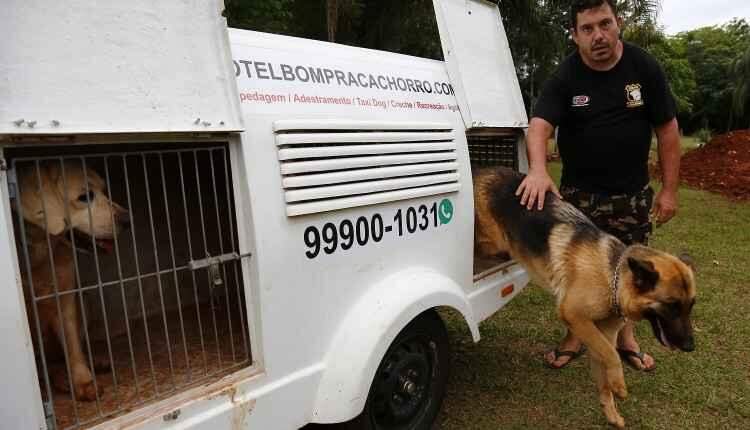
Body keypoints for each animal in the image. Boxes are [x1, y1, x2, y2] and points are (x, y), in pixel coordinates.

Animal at [13, 161, 129, 400]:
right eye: (85, 197)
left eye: (104, 190)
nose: (128, 219)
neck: (40, 253)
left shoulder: (66, 298)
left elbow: (74, 346)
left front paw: (84, 381)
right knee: (47, 365)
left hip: (84, 299)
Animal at [476, 167, 700, 426]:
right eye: (672, 306)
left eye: (690, 306)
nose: (690, 347)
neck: (612, 278)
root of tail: (484, 171)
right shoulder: (575, 317)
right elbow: (612, 355)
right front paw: (620, 386)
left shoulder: (600, 334)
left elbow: (604, 373)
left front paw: (611, 412)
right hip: (492, 242)